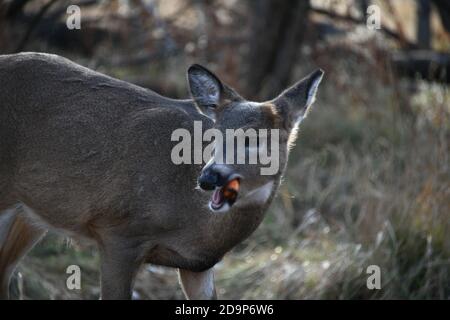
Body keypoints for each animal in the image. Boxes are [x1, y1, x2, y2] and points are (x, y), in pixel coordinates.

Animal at [0, 52, 324, 300]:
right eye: (214, 136)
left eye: (252, 140)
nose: (208, 178)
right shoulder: (118, 232)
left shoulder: (197, 266)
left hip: (29, 212)